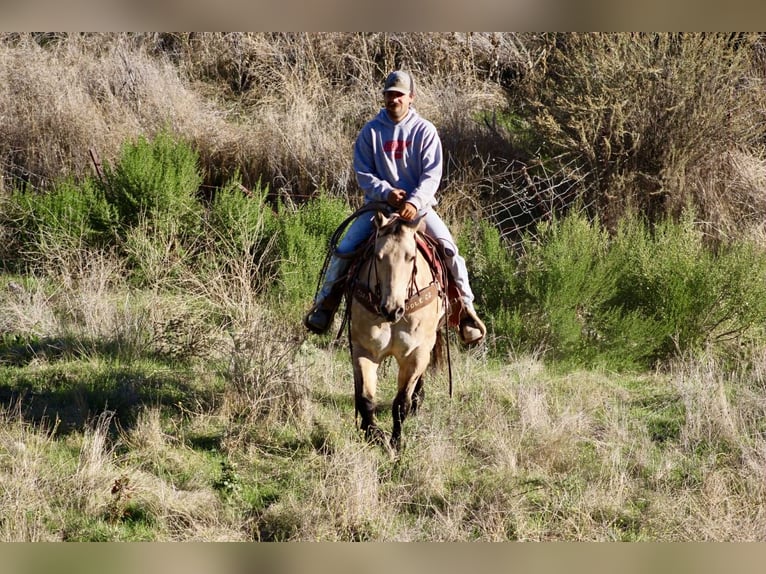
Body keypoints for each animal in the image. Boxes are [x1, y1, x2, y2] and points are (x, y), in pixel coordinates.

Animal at [347, 210, 447, 456]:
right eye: (378, 256)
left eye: (411, 257)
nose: (391, 309)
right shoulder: (364, 350)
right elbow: (365, 398)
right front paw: (374, 435)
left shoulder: (415, 354)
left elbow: (401, 403)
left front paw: (397, 443)